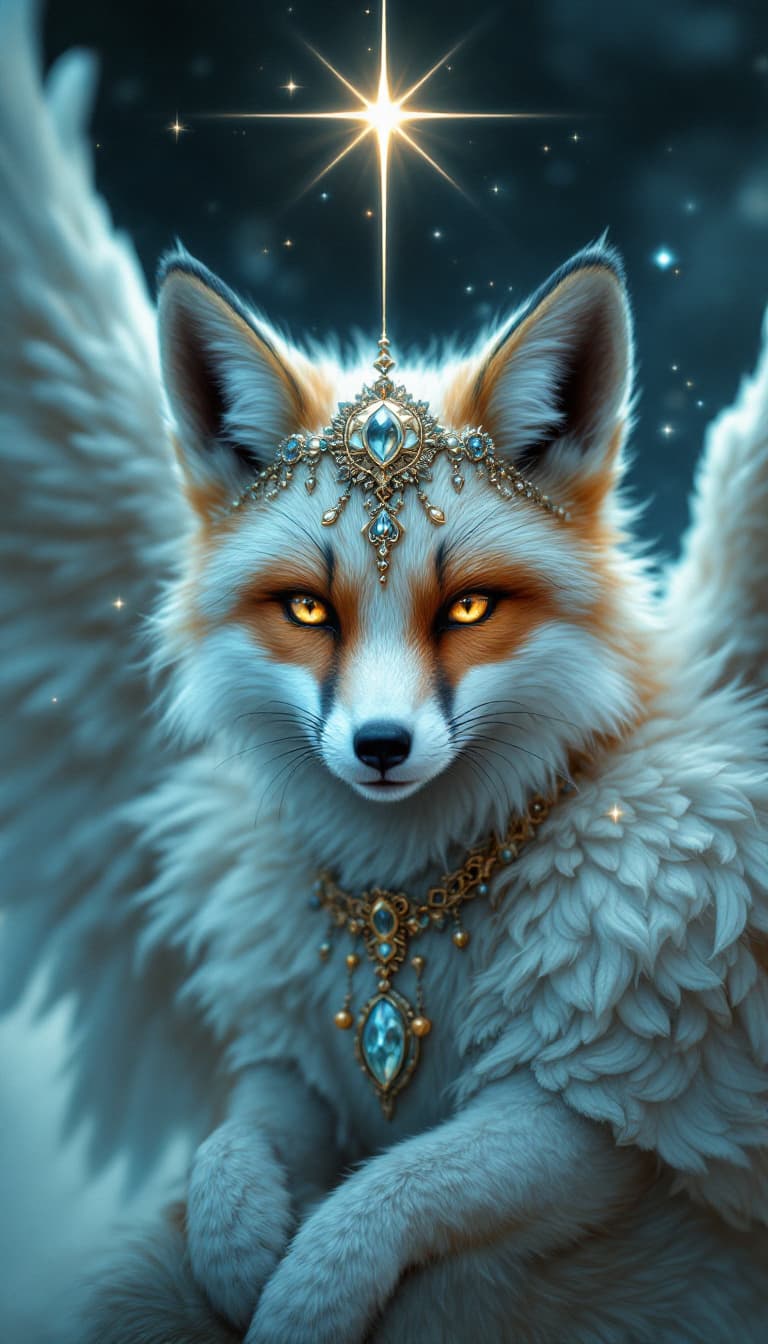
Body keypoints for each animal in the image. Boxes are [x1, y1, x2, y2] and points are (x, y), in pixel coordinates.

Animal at [2, 1, 768, 1341]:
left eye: (467, 608)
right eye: (309, 609)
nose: (380, 751)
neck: (412, 911)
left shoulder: (598, 1101)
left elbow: (400, 1191)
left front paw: (304, 1297)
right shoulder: (292, 1060)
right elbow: (229, 1156)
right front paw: (237, 1256)